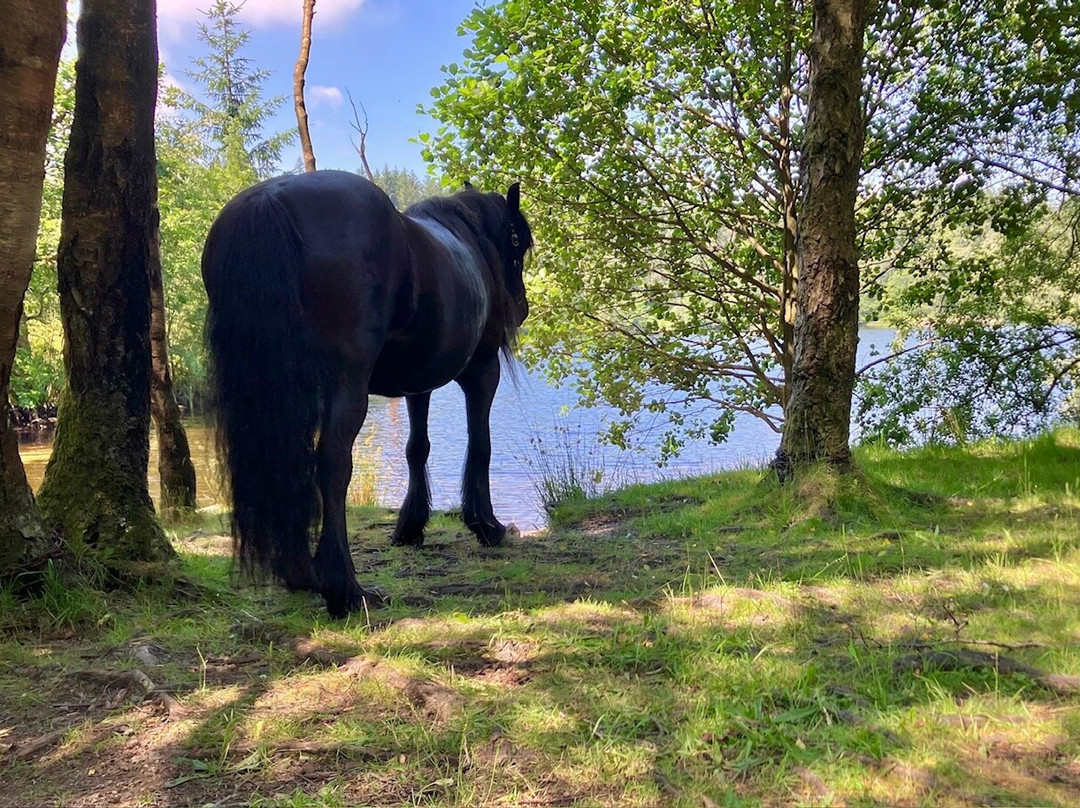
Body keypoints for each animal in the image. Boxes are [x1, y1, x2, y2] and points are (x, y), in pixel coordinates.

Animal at [202, 170, 532, 617]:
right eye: (518, 241)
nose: (521, 308)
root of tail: (270, 200)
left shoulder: (417, 382)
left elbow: (416, 448)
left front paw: (410, 526)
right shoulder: (483, 370)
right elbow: (480, 445)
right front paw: (487, 525)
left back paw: (301, 574)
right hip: (346, 383)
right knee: (332, 464)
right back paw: (346, 588)